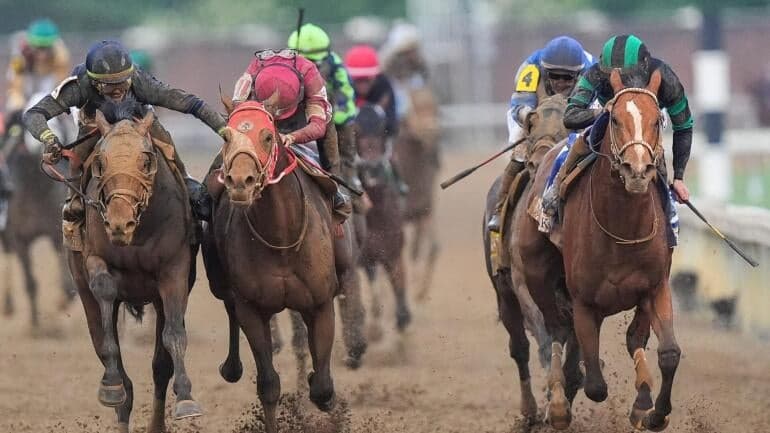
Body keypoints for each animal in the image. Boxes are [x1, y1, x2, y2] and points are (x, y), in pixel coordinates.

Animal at [1, 92, 76, 328]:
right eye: (21, 123)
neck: (35, 189)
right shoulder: (19, 238)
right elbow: (29, 281)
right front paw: (35, 324)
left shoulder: (56, 232)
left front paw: (64, 299)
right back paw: (8, 305)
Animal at [64, 101, 201, 433]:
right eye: (100, 162)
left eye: (146, 160)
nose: (119, 223)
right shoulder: (94, 258)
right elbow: (105, 293)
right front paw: (111, 386)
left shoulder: (174, 269)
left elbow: (173, 336)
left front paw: (186, 399)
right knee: (113, 366)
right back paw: (114, 387)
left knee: (160, 365)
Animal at [201, 99, 350, 433]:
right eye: (227, 135)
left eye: (268, 136)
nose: (240, 182)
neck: (281, 237)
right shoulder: (252, 309)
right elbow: (268, 385)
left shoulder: (320, 303)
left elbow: (323, 388)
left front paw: (324, 392)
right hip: (219, 280)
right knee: (228, 304)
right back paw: (231, 367)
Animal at [482, 93, 571, 425]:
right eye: (531, 127)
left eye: (566, 127)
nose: (537, 161)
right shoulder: (523, 284)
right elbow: (544, 340)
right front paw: (553, 401)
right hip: (504, 294)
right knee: (519, 347)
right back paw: (531, 410)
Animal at [522, 69, 679, 431]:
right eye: (616, 120)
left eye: (657, 121)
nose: (638, 171)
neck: (622, 229)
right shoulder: (583, 302)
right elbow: (594, 383)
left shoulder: (655, 287)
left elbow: (667, 353)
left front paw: (653, 411)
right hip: (537, 274)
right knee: (555, 330)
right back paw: (558, 405)